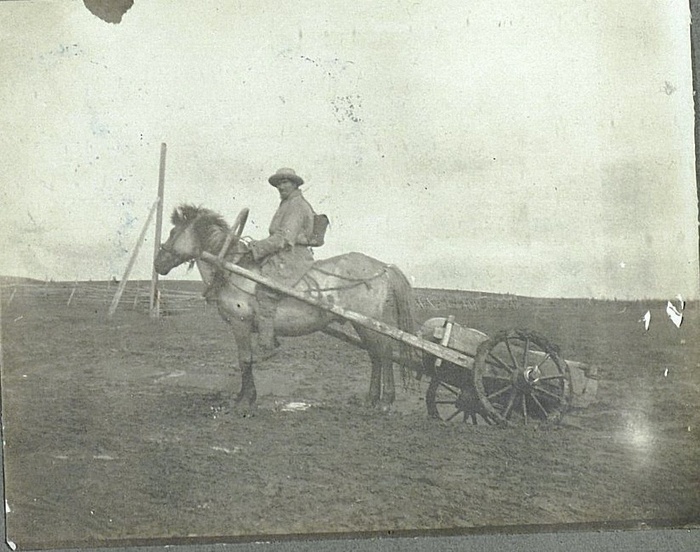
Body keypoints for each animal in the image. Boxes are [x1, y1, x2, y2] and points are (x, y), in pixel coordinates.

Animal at [154, 204, 417, 413]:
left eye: (173, 232)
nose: (157, 264)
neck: (231, 266)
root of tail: (383, 267)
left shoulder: (240, 323)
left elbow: (244, 360)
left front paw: (245, 401)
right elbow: (245, 362)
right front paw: (243, 397)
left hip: (370, 323)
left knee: (384, 354)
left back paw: (385, 401)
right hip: (362, 324)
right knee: (375, 356)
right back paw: (371, 399)